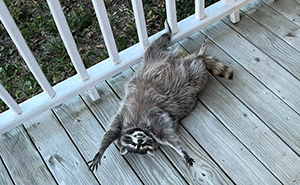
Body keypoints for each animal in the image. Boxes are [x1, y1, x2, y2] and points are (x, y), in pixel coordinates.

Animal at [88, 21, 233, 171]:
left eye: (141, 143)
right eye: (136, 145)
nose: (140, 139)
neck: (138, 124)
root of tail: (179, 58)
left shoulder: (128, 117)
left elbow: (111, 132)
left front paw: (100, 151)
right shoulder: (152, 121)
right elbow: (166, 134)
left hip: (153, 57)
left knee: (157, 44)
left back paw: (180, 40)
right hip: (192, 77)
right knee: (194, 66)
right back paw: (198, 55)